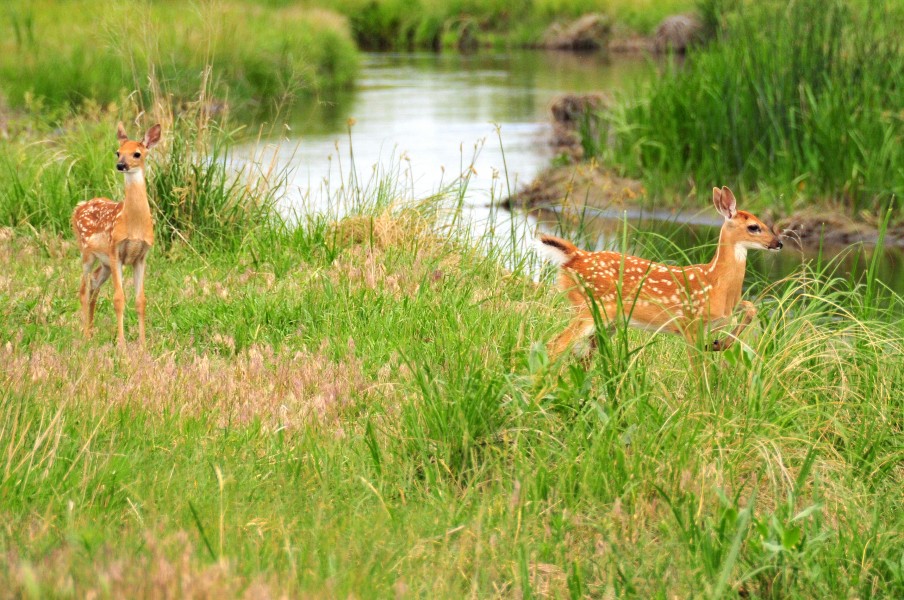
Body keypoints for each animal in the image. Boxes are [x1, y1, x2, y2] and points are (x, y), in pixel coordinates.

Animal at [71, 122, 162, 347]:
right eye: (118, 152)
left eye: (137, 153)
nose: (121, 165)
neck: (133, 224)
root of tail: (78, 207)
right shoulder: (115, 251)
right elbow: (119, 299)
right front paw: (121, 345)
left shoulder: (141, 256)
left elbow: (141, 300)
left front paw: (143, 344)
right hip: (87, 253)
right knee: (84, 289)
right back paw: (85, 336)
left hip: (104, 264)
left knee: (94, 286)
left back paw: (91, 332)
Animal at [537, 186, 783, 359]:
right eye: (754, 227)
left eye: (765, 223)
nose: (778, 243)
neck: (715, 282)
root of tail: (576, 255)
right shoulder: (690, 324)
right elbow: (698, 372)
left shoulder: (726, 310)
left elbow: (750, 307)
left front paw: (719, 344)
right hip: (589, 308)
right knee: (554, 345)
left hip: (605, 321)